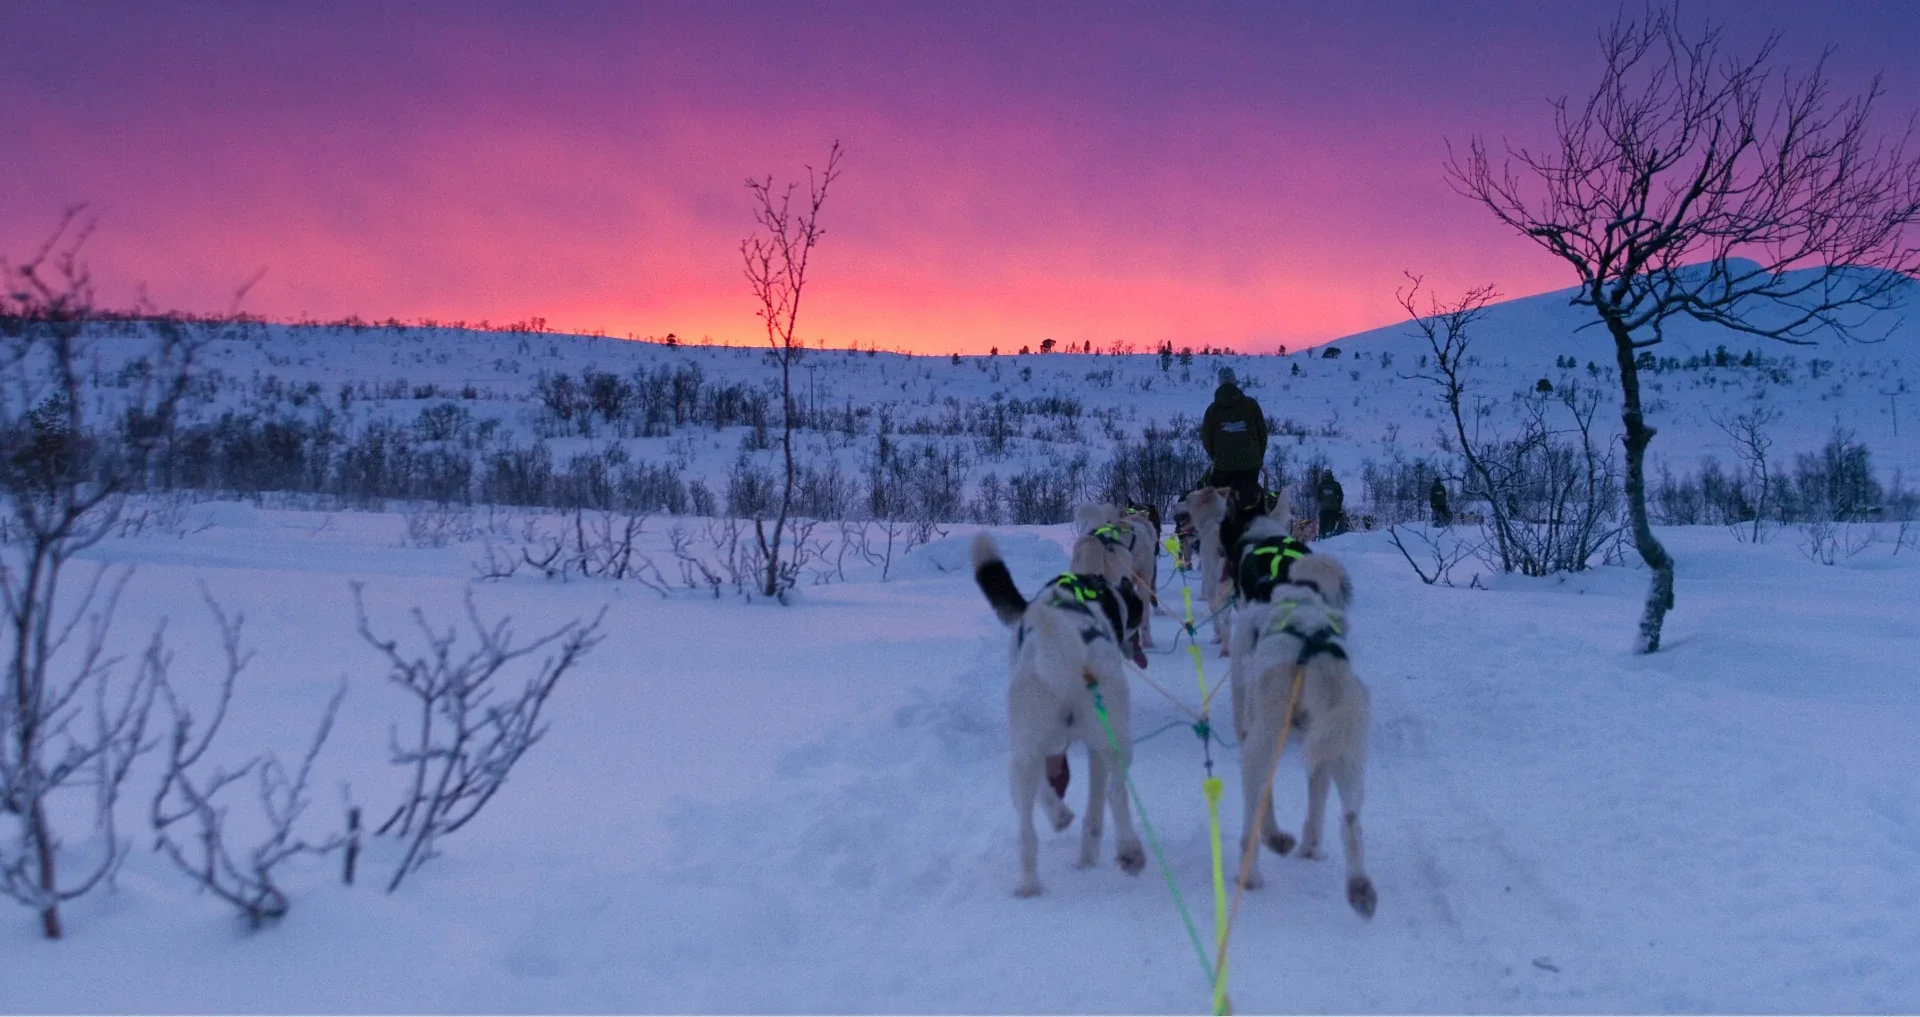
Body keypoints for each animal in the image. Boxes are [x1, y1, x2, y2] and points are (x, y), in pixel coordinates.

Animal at [973, 532, 1148, 897]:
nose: (1136, 646)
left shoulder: (1046, 748)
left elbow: (1053, 792)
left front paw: (1062, 819)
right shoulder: (1092, 750)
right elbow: (1095, 811)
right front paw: (1087, 856)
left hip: (1025, 751)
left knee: (1027, 829)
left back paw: (1030, 884)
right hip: (1113, 740)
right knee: (1116, 792)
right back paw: (1128, 851)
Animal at [1225, 516, 1375, 918]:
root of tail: (1310, 645)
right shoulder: (1319, 744)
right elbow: (1317, 800)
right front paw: (1310, 847)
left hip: (1263, 738)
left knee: (1253, 811)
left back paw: (1255, 866)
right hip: (1347, 749)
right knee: (1351, 821)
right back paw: (1359, 887)